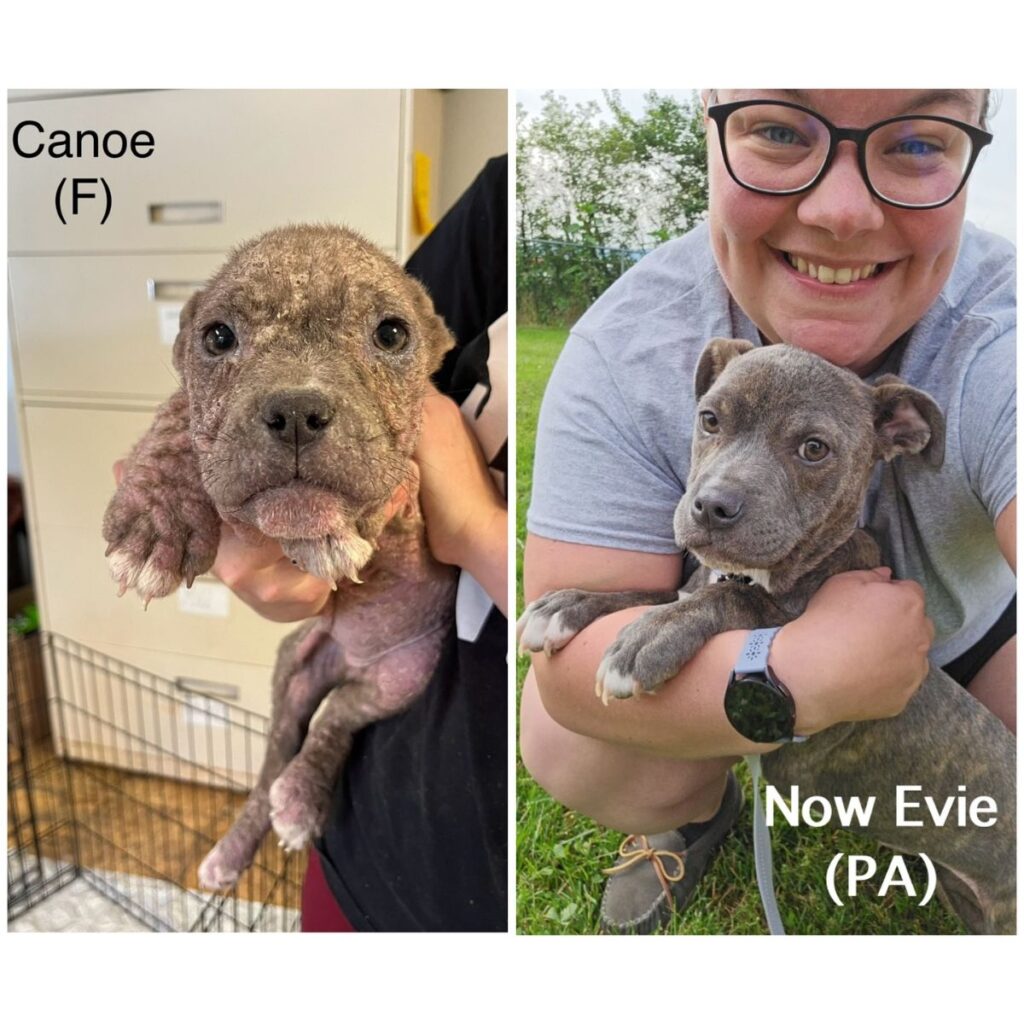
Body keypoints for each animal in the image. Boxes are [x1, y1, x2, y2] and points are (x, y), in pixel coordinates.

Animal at [103, 228, 456, 892]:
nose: (296, 410)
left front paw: (321, 525)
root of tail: (346, 660)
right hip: (292, 671)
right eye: (218, 337)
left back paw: (300, 797)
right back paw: (234, 849)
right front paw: (159, 517)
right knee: (274, 759)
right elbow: (179, 419)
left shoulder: (416, 494)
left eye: (392, 334)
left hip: (401, 675)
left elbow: (388, 485)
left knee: (335, 719)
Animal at [520, 337, 1015, 937]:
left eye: (814, 449)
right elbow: (658, 592)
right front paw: (572, 604)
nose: (711, 506)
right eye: (710, 419)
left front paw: (653, 636)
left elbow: (737, 603)